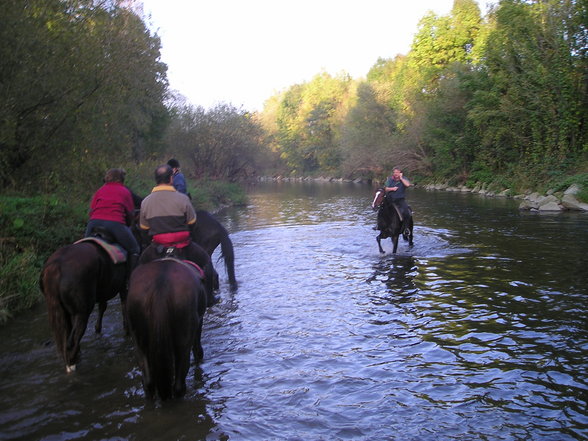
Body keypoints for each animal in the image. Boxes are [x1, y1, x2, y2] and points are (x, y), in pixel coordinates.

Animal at [40, 232, 130, 372]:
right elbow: (124, 307)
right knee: (74, 337)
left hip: (64, 311)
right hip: (82, 310)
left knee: (67, 335)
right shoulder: (123, 286)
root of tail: (56, 266)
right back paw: (72, 364)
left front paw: (98, 331)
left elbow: (102, 308)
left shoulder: (103, 291)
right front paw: (127, 331)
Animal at [126, 258, 207, 398]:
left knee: (148, 382)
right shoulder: (199, 322)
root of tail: (160, 287)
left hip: (139, 340)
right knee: (179, 384)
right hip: (184, 339)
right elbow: (198, 350)